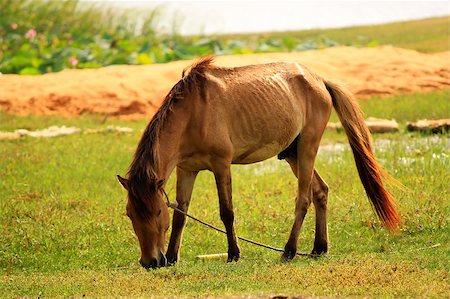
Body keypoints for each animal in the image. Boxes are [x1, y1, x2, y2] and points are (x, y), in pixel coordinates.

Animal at [117, 56, 400, 270]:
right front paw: (174, 257)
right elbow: (180, 215)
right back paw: (318, 248)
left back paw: (289, 251)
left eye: (156, 212)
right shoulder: (186, 169)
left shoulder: (221, 165)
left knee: (304, 199)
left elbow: (227, 212)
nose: (151, 262)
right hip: (292, 154)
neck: (193, 113)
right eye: (130, 214)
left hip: (308, 149)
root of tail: (319, 80)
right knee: (320, 191)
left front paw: (233, 254)